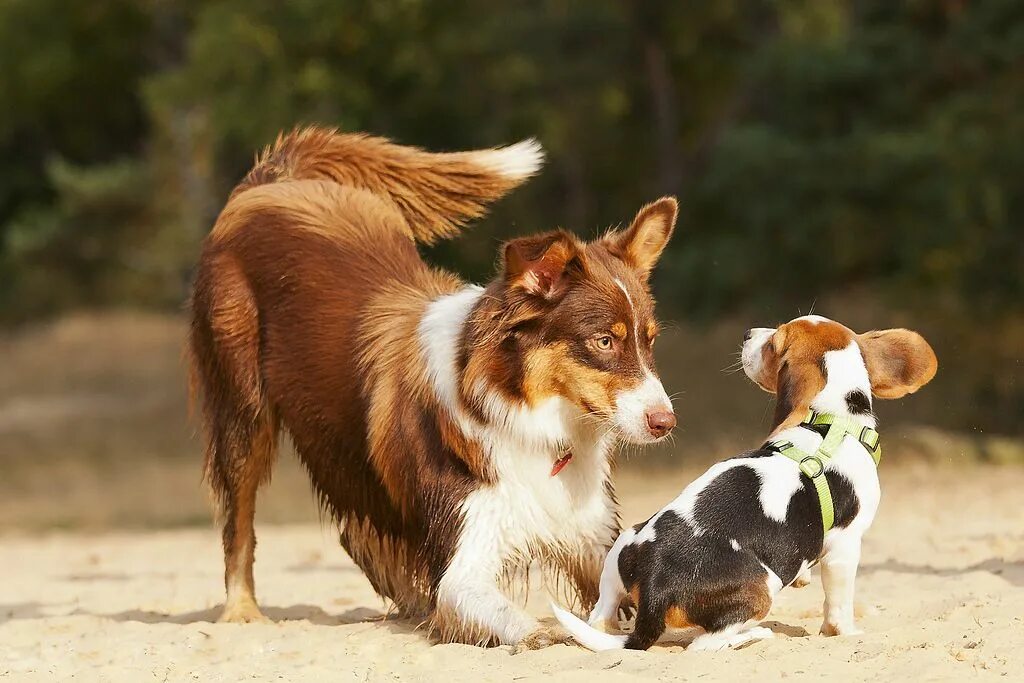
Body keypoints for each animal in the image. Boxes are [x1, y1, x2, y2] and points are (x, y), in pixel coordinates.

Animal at [188, 126, 679, 647]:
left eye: (649, 341)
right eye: (604, 340)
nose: (666, 422)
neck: (534, 427)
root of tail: (274, 181)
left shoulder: (593, 537)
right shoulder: (465, 560)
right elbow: (518, 624)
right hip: (243, 411)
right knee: (239, 522)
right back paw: (242, 611)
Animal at [552, 315, 937, 651]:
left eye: (775, 343)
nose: (748, 333)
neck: (832, 422)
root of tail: (654, 592)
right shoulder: (845, 547)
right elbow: (839, 604)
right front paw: (844, 632)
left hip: (623, 544)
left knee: (600, 618)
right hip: (763, 586)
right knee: (703, 645)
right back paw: (754, 635)